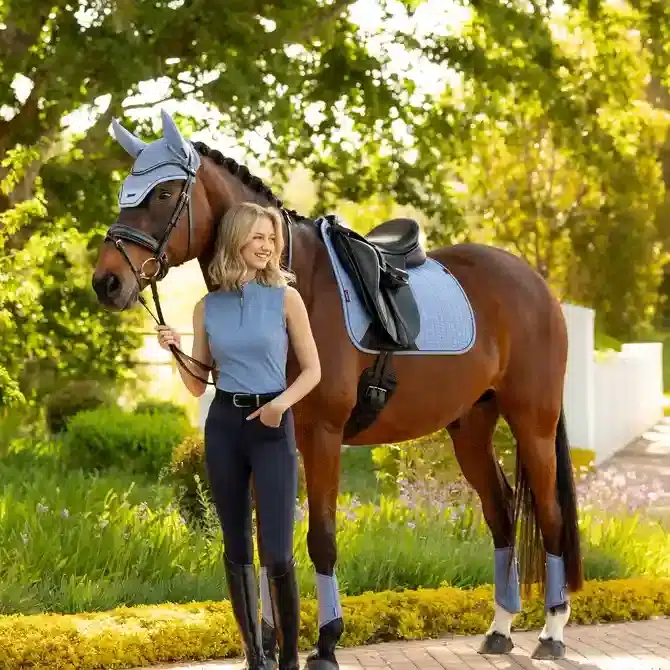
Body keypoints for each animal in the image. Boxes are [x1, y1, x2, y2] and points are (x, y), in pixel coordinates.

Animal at [91, 109, 583, 667]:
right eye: (126, 191)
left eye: (165, 193)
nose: (107, 282)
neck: (291, 281)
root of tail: (536, 284)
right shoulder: (275, 441)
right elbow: (269, 541)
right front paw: (268, 640)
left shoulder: (322, 436)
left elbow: (320, 539)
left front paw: (326, 643)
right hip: (471, 427)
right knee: (500, 513)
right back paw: (500, 628)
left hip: (532, 423)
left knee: (550, 516)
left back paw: (552, 631)